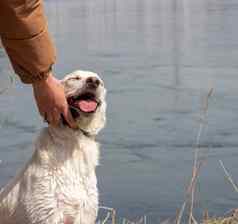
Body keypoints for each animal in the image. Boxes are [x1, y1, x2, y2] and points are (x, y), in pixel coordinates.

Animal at [0, 70, 106, 224]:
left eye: (100, 82)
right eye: (75, 78)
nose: (93, 81)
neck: (74, 140)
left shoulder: (85, 214)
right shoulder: (47, 213)